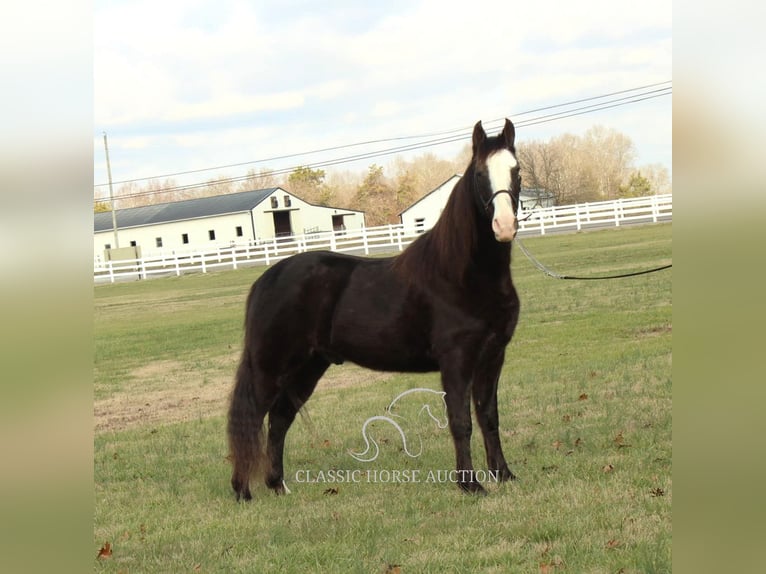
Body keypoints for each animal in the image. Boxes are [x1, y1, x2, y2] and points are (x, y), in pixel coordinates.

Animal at [230, 119, 520, 502]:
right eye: (479, 174)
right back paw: (242, 491)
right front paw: (470, 484)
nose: (504, 226)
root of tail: (267, 278)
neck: (461, 276)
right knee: (251, 417)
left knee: (279, 420)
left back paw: (277, 485)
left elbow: (489, 417)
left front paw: (504, 474)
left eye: (516, 170)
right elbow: (461, 422)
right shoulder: (456, 361)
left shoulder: (493, 356)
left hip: (308, 367)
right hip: (271, 367)